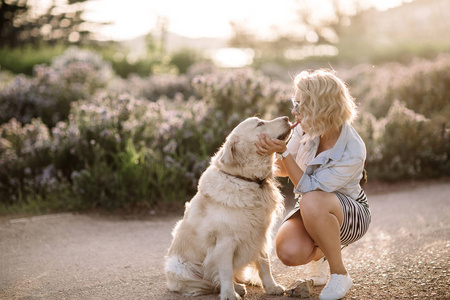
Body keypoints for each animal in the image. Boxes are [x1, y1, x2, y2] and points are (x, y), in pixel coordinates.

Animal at [165, 116, 292, 298]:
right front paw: (229, 294)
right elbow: (225, 271)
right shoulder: (225, 242)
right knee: (210, 281)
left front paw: (271, 287)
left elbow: (265, 264)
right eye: (259, 124)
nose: (287, 117)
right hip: (178, 267)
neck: (245, 180)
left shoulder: (260, 235)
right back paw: (235, 288)